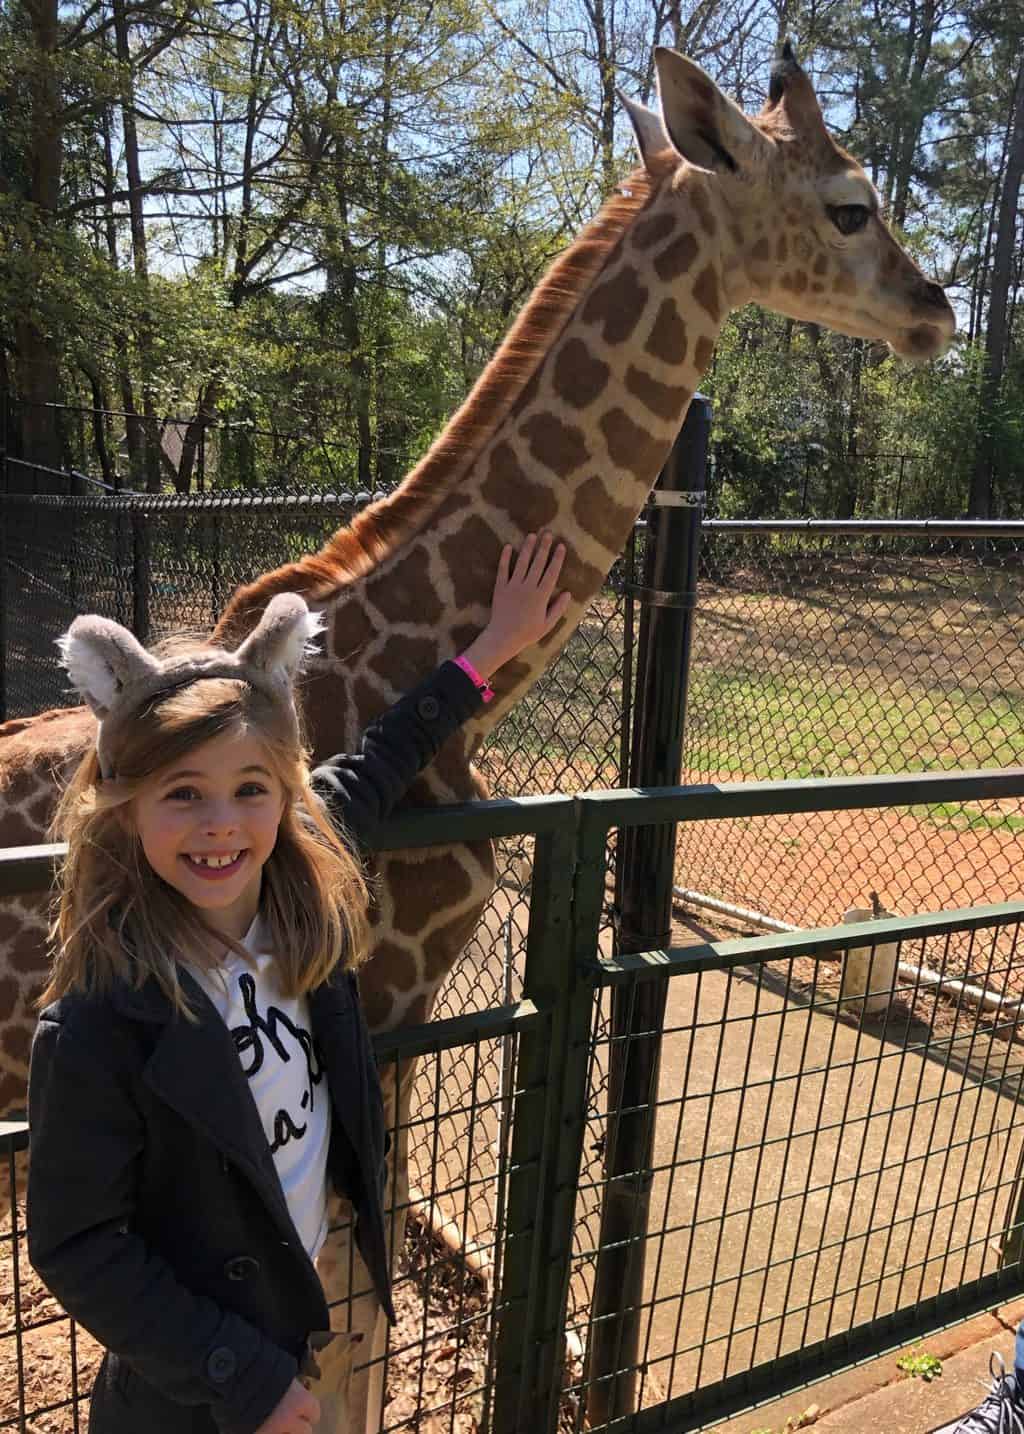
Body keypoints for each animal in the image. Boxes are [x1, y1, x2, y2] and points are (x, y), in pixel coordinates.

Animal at [3, 44, 952, 1434]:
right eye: (849, 205)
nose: (939, 312)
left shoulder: (384, 1017)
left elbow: (361, 1319)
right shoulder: (387, 998)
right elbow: (356, 1329)